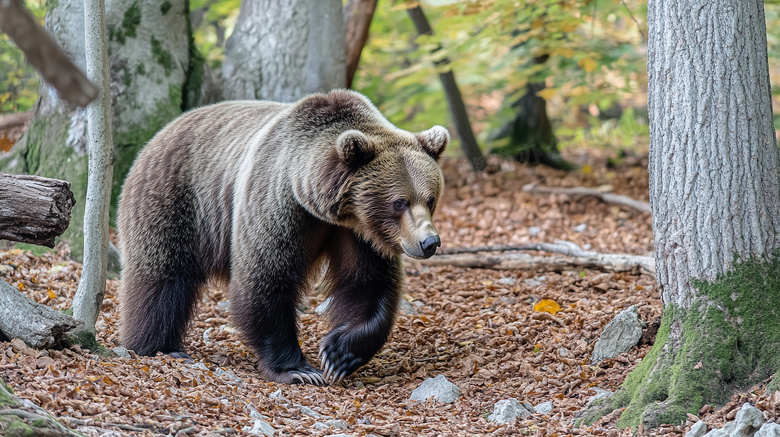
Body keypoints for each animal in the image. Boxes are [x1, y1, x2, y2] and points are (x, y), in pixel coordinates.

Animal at [114, 89, 444, 384]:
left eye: (430, 199)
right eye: (399, 202)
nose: (429, 242)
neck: (321, 204)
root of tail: (158, 134)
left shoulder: (361, 232)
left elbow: (367, 282)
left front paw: (339, 354)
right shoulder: (278, 201)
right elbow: (266, 279)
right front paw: (298, 369)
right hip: (175, 199)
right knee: (162, 277)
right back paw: (158, 346)